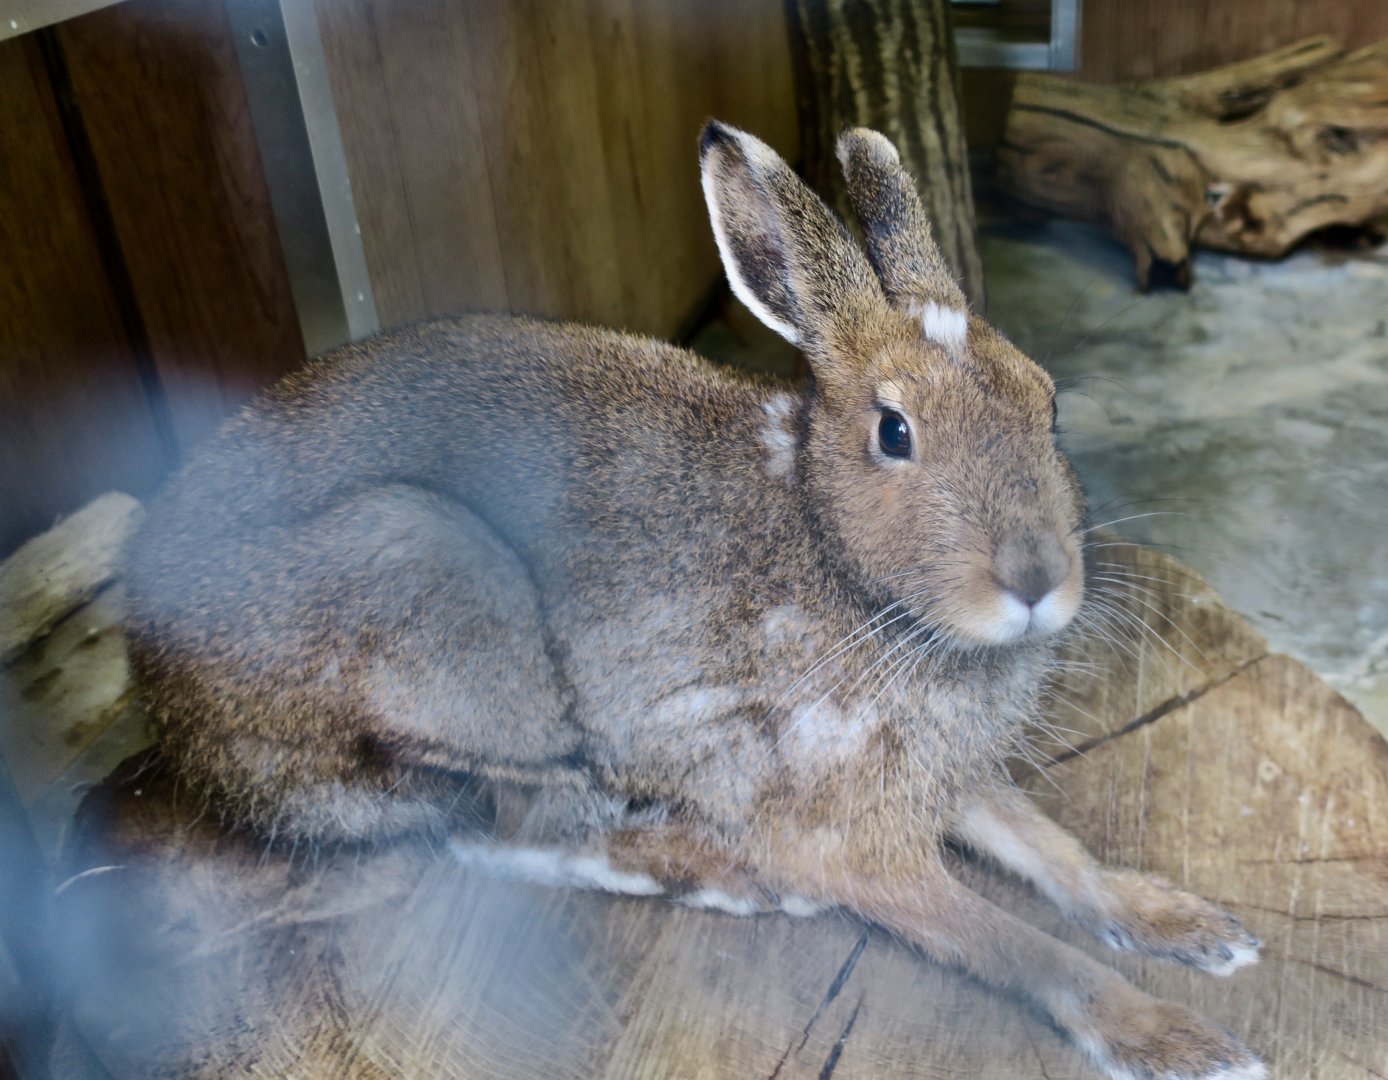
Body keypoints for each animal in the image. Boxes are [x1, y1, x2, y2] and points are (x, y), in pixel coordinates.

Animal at [123, 120, 1264, 1080]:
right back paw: (729, 879)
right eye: (894, 432)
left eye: (1048, 403)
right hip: (441, 597)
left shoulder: (942, 778)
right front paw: (1174, 1039)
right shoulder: (841, 826)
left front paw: (1191, 926)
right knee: (507, 830)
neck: (833, 554)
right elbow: (1020, 944)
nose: (1034, 582)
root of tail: (162, 704)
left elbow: (1056, 853)